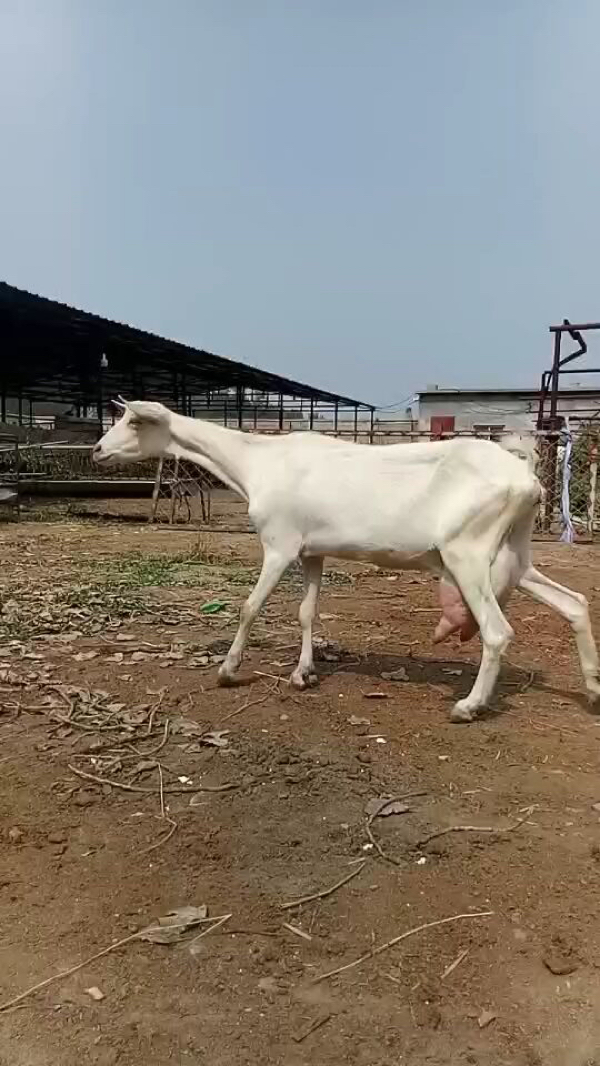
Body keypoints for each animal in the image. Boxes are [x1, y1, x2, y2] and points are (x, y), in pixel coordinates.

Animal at [93, 400, 600, 724]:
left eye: (134, 421)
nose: (97, 450)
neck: (257, 463)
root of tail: (526, 477)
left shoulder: (279, 544)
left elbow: (250, 607)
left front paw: (228, 670)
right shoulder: (312, 551)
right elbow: (307, 612)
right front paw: (303, 674)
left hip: (468, 553)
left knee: (498, 631)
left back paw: (468, 707)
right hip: (514, 554)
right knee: (574, 602)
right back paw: (593, 690)